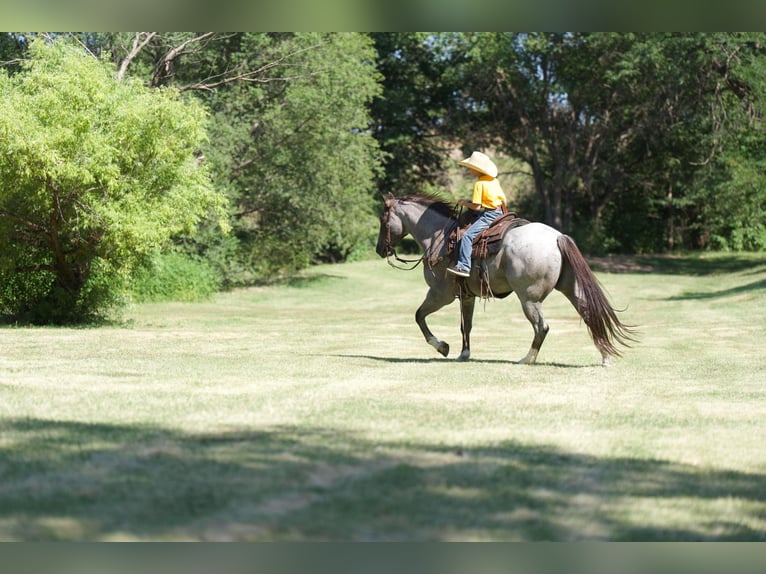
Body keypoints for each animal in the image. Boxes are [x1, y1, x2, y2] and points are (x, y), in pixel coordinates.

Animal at [375, 193, 636, 366]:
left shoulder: (441, 294)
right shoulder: (467, 296)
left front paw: (442, 347)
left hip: (529, 298)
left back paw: (527, 359)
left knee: (542, 327)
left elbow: (419, 316)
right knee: (590, 314)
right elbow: (466, 326)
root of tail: (557, 237)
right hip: (571, 288)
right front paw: (464, 354)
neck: (439, 237)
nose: (380, 249)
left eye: (383, 220)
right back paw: (605, 356)